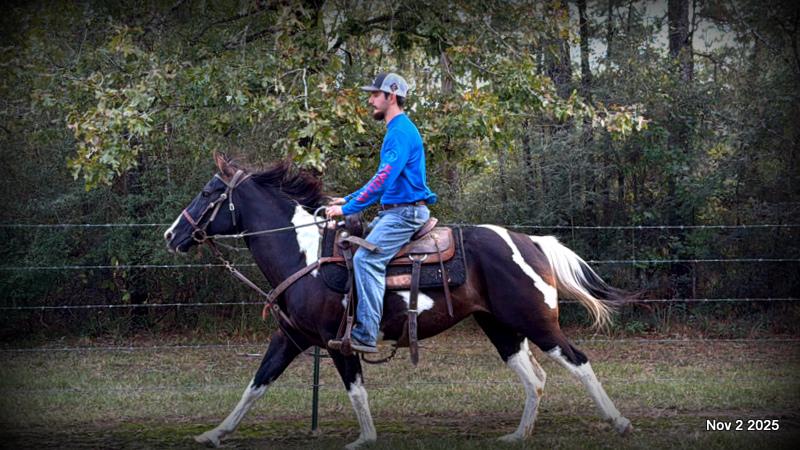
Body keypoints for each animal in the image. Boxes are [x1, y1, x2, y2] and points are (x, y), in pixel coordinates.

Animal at [164, 154, 633, 448]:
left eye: (207, 193)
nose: (171, 234)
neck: (306, 256)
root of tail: (530, 241)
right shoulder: (291, 338)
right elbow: (255, 385)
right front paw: (214, 433)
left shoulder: (339, 341)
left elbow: (355, 391)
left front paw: (365, 439)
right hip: (501, 328)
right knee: (534, 379)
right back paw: (519, 435)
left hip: (536, 322)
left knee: (578, 360)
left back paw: (619, 421)